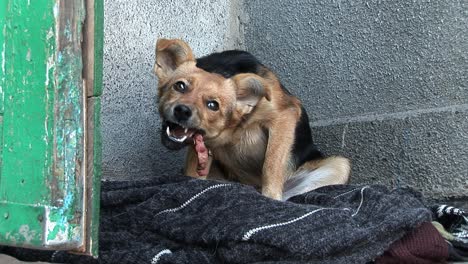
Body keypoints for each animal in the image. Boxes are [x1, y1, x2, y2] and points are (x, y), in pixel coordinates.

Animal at [155, 38, 350, 200]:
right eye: (180, 86)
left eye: (213, 105)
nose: (182, 111)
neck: (234, 127)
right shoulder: (201, 146)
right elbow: (192, 174)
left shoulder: (284, 116)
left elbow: (271, 164)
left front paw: (270, 196)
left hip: (340, 165)